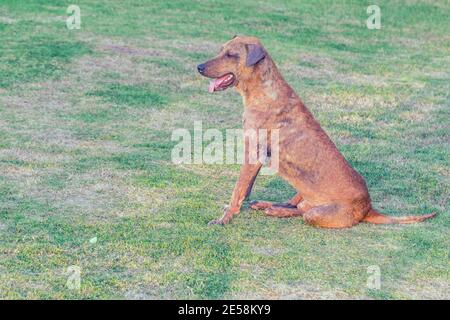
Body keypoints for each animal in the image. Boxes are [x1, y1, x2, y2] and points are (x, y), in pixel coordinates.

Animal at [197, 35, 436, 228]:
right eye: (221, 50)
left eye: (231, 55)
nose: (199, 67)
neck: (263, 90)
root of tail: (368, 208)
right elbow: (245, 190)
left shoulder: (253, 154)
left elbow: (238, 190)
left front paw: (224, 219)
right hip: (302, 187)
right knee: (295, 204)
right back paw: (268, 205)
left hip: (317, 212)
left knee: (303, 212)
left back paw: (275, 210)